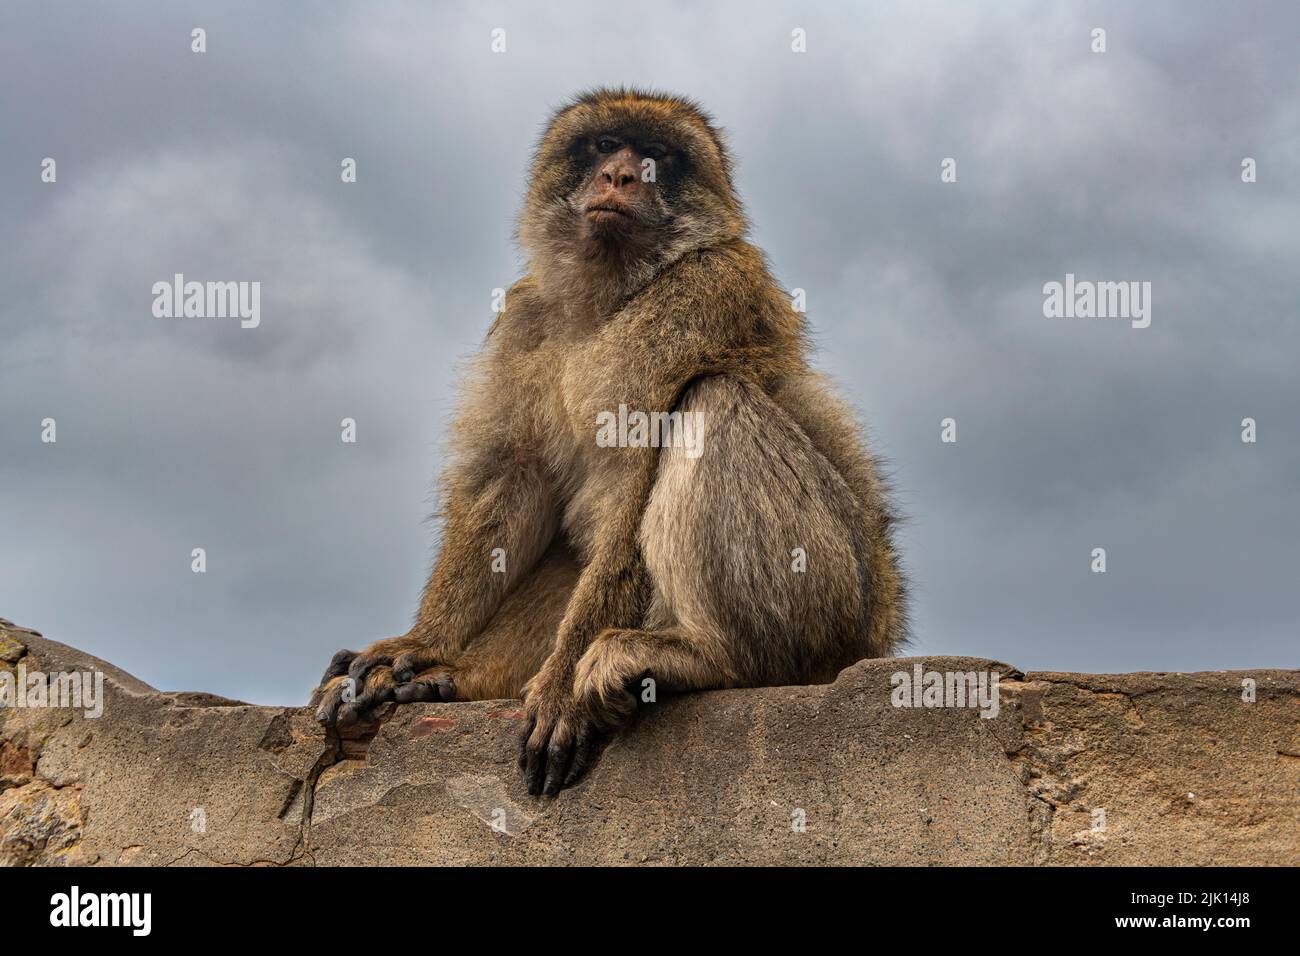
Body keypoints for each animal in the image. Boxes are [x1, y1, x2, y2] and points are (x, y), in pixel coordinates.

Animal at [312, 89, 904, 796]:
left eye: (656, 156)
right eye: (603, 145)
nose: (620, 176)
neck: (609, 292)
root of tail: (883, 632)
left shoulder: (701, 293)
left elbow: (634, 478)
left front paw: (561, 688)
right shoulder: (526, 316)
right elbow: (511, 478)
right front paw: (424, 645)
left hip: (838, 598)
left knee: (713, 399)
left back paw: (717, 657)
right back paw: (452, 679)